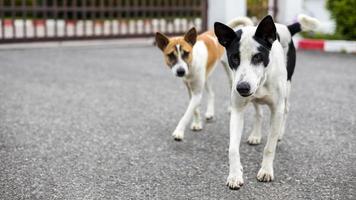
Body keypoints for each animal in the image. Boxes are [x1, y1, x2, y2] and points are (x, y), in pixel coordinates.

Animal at [214, 14, 320, 189]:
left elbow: (269, 147)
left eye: (257, 57)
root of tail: (285, 27)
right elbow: (233, 149)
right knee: (258, 111)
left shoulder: (276, 109)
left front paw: (266, 171)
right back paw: (256, 135)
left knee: (286, 109)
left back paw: (279, 135)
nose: (242, 87)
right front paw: (235, 174)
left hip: (287, 87)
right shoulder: (237, 110)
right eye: (234, 58)